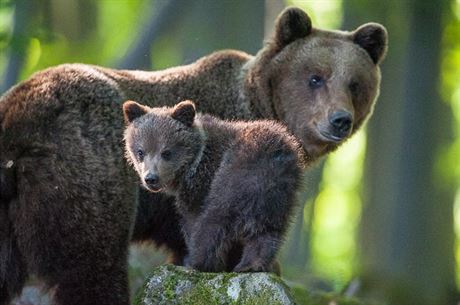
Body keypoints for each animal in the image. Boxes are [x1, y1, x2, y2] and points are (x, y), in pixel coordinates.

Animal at [0, 6, 386, 304]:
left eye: (355, 83)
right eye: (315, 77)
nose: (340, 120)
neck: (263, 106)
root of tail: (17, 113)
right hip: (87, 170)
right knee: (93, 264)